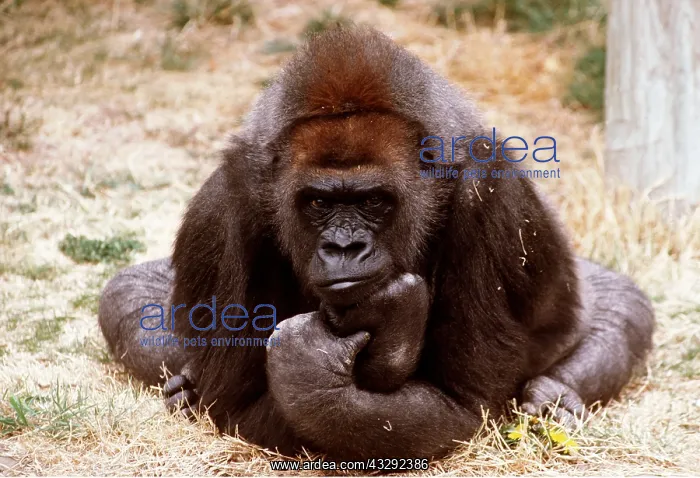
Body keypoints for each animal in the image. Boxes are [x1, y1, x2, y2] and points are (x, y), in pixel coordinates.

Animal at [98, 25, 655, 460]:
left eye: (373, 201)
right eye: (319, 203)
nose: (345, 248)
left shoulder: (491, 195)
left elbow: (462, 405)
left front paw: (315, 368)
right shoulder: (226, 204)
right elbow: (235, 407)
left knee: (617, 312)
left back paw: (555, 393)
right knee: (127, 296)